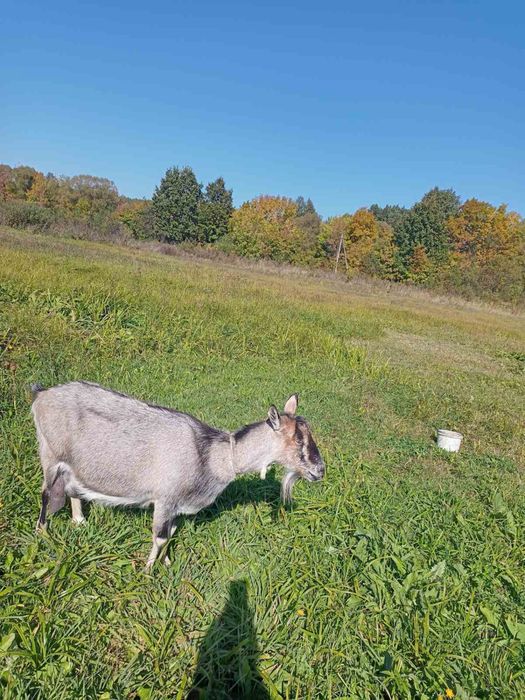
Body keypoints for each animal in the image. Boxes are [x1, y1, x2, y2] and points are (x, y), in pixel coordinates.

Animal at [31, 381, 325, 569]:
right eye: (298, 439)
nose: (320, 471)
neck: (211, 455)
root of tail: (41, 395)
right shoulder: (165, 498)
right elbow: (160, 536)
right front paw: (148, 570)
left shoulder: (175, 505)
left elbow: (171, 532)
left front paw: (167, 562)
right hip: (49, 453)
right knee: (45, 493)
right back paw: (43, 534)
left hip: (72, 463)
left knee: (72, 486)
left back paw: (79, 521)